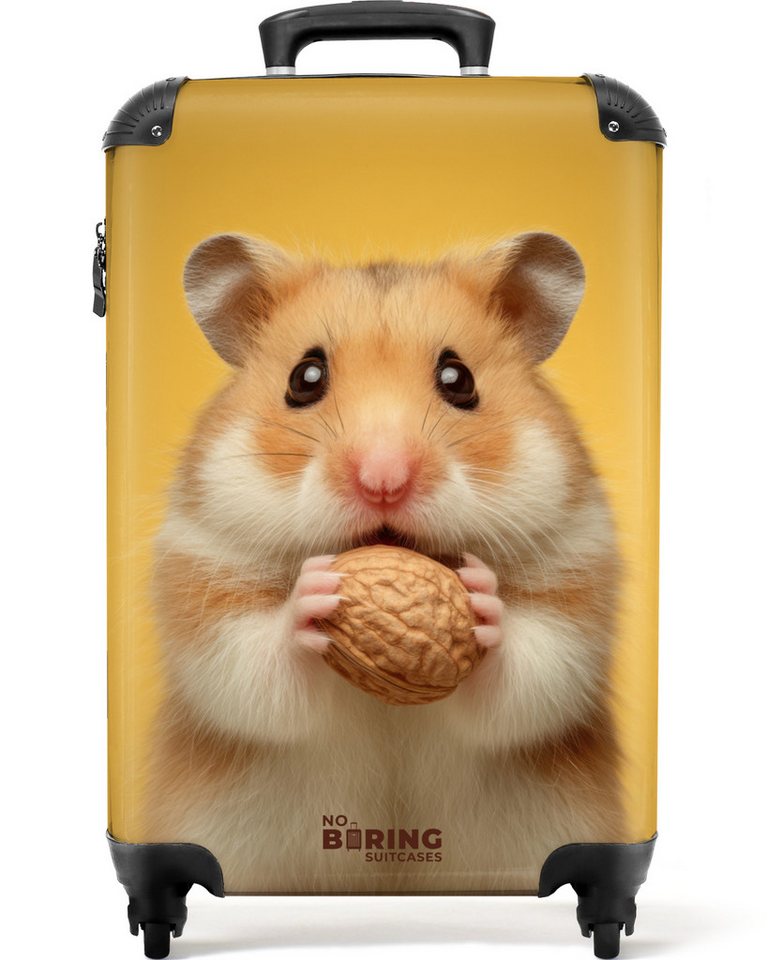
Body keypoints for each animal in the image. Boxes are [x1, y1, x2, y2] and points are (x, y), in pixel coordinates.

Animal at [144, 231, 624, 894]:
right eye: (304, 377)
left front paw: (481, 599)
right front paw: (314, 593)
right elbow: (254, 671)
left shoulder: (576, 580)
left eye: (458, 378)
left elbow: (530, 678)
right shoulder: (203, 582)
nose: (384, 480)